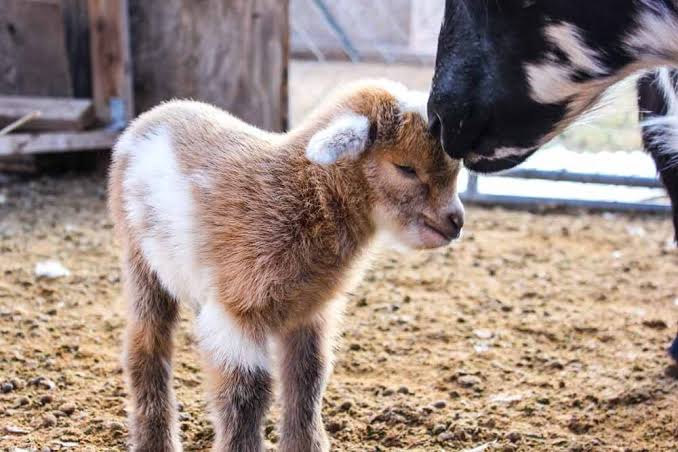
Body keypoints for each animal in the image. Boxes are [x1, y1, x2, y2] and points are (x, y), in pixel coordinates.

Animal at [108, 79, 464, 452]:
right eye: (405, 168)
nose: (456, 221)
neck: (303, 191)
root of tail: (153, 116)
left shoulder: (308, 312)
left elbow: (308, 379)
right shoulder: (237, 310)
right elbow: (246, 394)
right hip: (139, 260)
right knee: (146, 346)